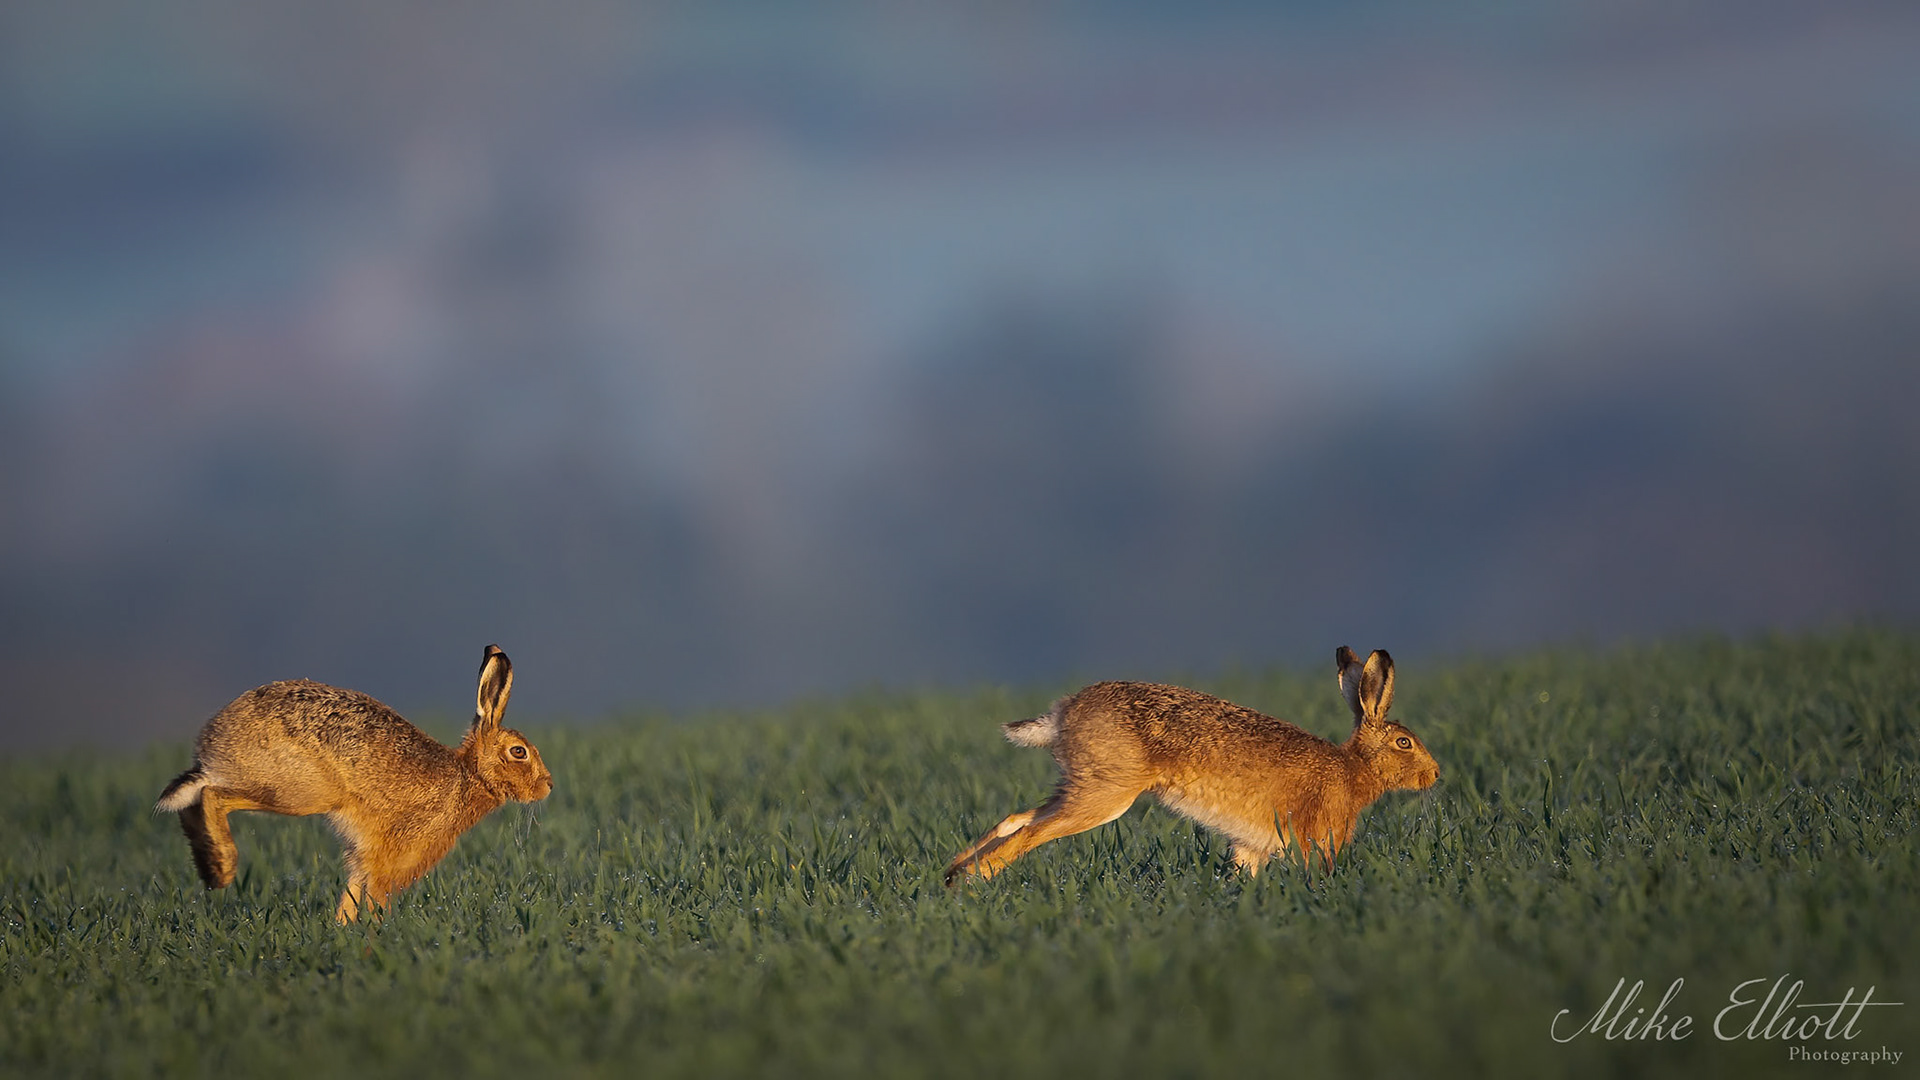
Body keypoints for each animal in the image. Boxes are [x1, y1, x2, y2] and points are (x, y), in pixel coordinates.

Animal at [155, 644, 553, 922]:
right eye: (519, 752)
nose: (548, 786)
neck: (468, 776)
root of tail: (213, 743)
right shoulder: (390, 860)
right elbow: (376, 904)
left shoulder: (363, 858)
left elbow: (349, 899)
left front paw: (340, 933)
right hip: (298, 791)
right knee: (213, 795)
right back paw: (221, 872)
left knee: (194, 802)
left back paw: (208, 870)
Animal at [945, 647, 1438, 885]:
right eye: (1404, 743)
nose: (1435, 774)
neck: (1356, 768)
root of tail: (1063, 713)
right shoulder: (1316, 836)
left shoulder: (1251, 845)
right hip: (1105, 794)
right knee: (1029, 834)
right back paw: (974, 879)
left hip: (1081, 786)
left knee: (1015, 820)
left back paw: (952, 876)